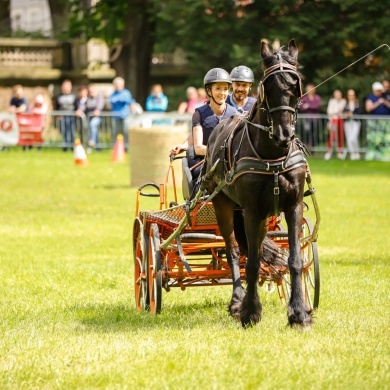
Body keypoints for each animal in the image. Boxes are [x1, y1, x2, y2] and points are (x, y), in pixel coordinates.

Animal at [203, 39, 312, 328]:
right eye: (268, 87)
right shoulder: (251, 210)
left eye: (295, 86)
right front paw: (250, 312)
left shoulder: (293, 205)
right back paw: (237, 300)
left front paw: (299, 312)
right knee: (232, 251)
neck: (273, 155)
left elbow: (295, 259)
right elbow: (250, 263)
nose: (284, 134)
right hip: (225, 206)